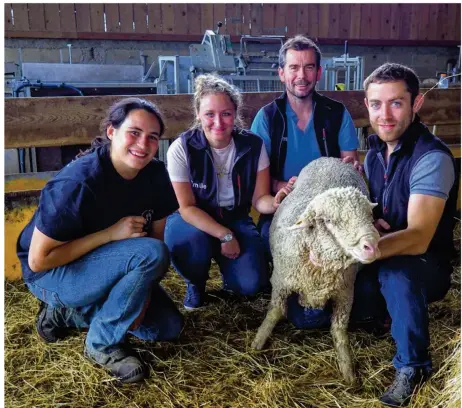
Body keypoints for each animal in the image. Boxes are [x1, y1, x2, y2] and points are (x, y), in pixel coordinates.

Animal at [251, 157, 380, 386]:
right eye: (329, 221)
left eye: (369, 216)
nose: (371, 246)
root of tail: (331, 159)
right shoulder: (281, 282)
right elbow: (275, 312)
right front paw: (258, 340)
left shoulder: (345, 294)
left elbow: (339, 330)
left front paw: (347, 369)